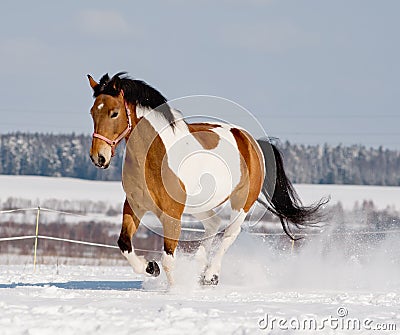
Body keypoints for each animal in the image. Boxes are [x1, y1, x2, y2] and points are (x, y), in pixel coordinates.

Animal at [86, 73, 326, 286]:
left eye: (114, 113)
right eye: (92, 112)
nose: (98, 157)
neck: (154, 156)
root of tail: (251, 141)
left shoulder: (172, 214)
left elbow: (168, 259)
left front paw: (175, 289)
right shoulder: (134, 206)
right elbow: (124, 244)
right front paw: (150, 267)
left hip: (241, 203)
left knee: (229, 233)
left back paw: (210, 275)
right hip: (199, 204)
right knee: (213, 224)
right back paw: (200, 268)